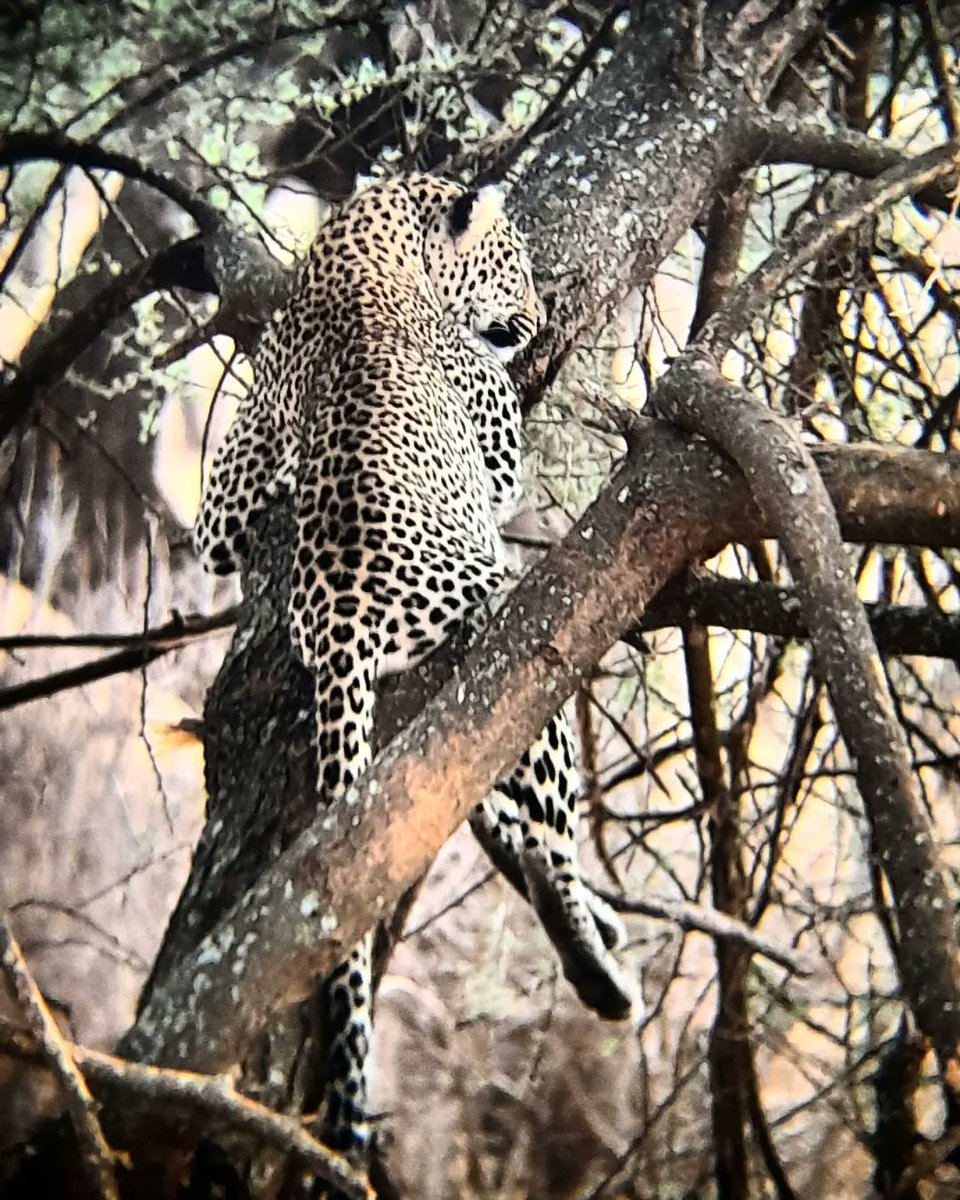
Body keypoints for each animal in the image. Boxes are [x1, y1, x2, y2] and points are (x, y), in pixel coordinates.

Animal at [194, 173, 637, 1169]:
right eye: (513, 264)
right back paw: (595, 963)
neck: (367, 234)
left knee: (489, 812)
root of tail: (342, 625)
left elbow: (218, 529)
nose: (538, 319)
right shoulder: (497, 446)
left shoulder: (228, 494)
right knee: (540, 830)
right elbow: (505, 456)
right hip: (514, 646)